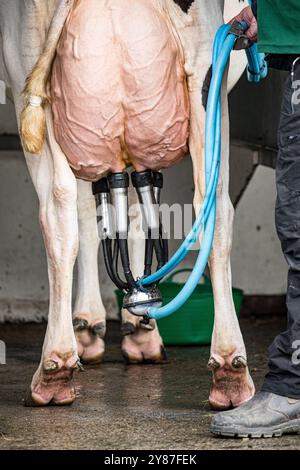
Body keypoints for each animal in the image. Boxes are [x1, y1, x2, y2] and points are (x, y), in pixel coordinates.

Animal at [0, 0, 253, 410]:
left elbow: (107, 213)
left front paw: (109, 323)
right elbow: (125, 213)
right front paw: (134, 320)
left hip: (33, 81)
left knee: (59, 211)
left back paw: (56, 366)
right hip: (207, 80)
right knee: (213, 204)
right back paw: (231, 369)